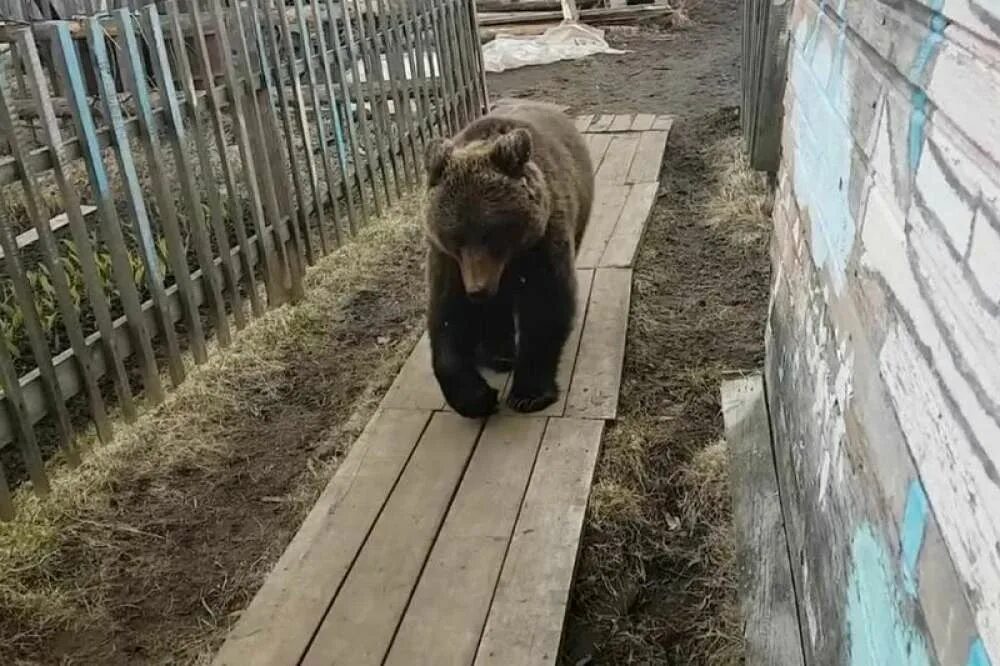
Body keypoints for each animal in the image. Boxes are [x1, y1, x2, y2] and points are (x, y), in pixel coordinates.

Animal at [422, 101, 592, 416]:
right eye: (456, 237)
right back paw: (498, 354)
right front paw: (476, 397)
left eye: (492, 233)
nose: (478, 289)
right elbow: (448, 314)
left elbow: (545, 304)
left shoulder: (542, 243)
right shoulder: (448, 261)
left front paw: (529, 394)